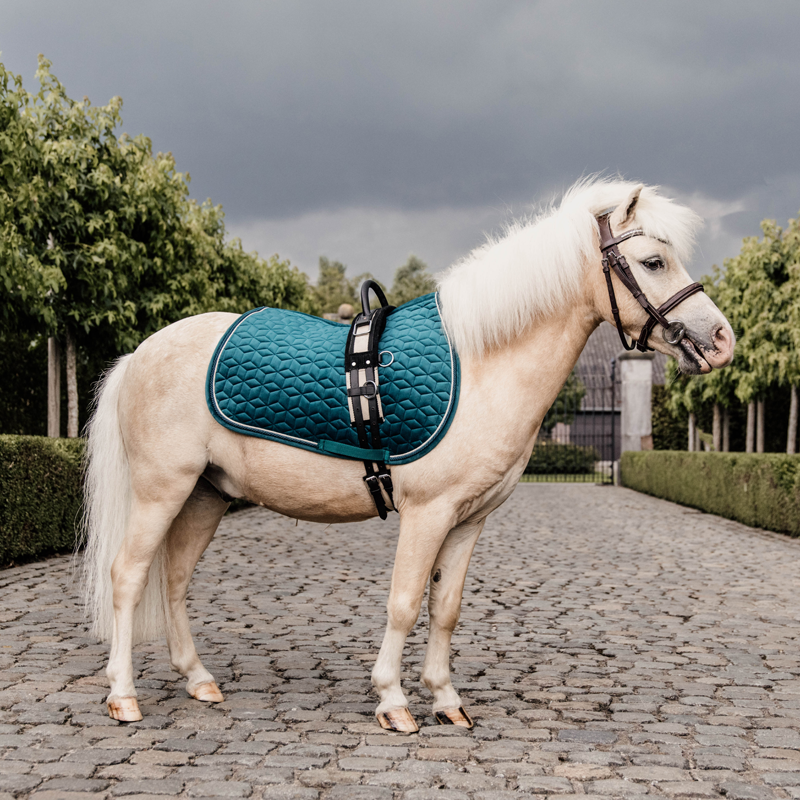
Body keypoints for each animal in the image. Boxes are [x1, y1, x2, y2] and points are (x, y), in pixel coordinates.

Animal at [82, 178, 735, 732]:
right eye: (653, 261)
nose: (720, 339)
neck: (482, 364)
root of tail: (140, 354)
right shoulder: (427, 512)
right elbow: (402, 602)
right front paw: (393, 702)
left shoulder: (468, 520)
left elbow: (444, 607)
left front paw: (446, 700)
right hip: (161, 491)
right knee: (128, 575)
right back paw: (123, 696)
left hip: (206, 496)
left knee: (174, 581)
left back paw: (199, 680)